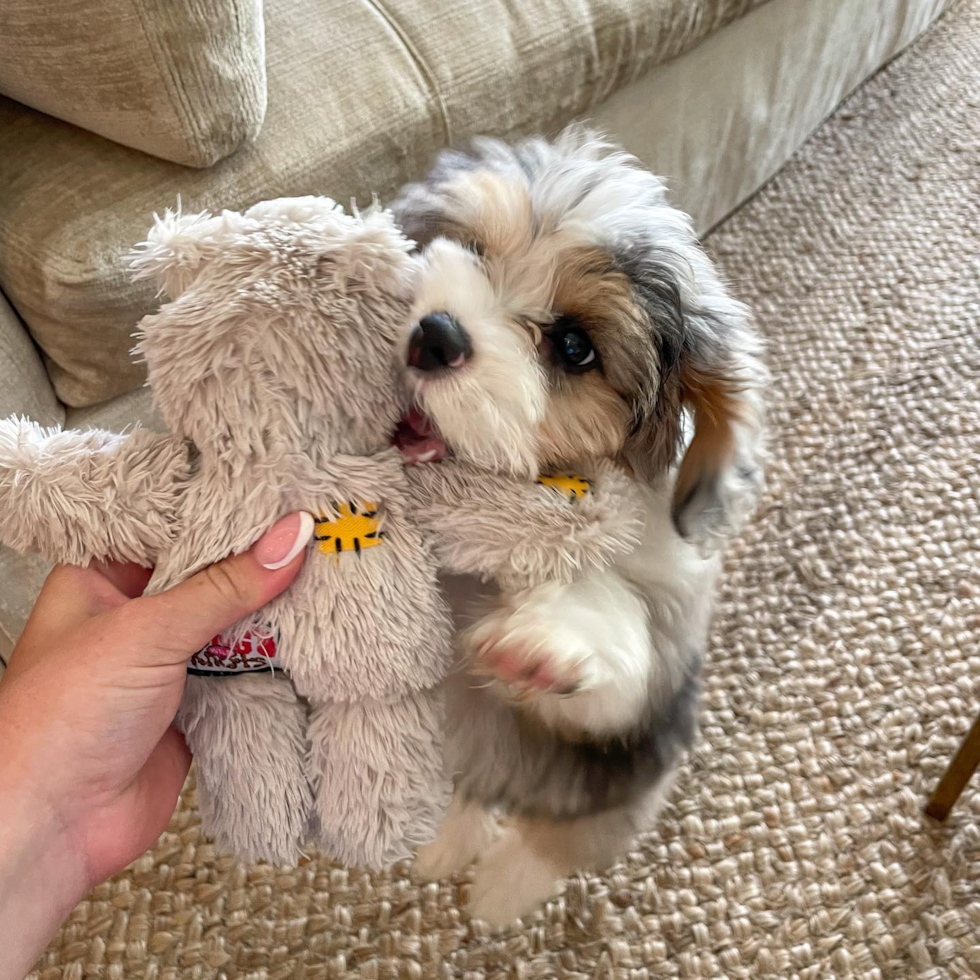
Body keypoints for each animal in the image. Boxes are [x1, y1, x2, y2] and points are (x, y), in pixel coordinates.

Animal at [390, 126, 764, 924]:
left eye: (573, 346)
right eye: (471, 247)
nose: (434, 335)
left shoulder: (644, 692)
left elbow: (607, 654)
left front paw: (547, 643)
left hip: (617, 784)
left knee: (560, 839)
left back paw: (501, 888)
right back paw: (449, 839)